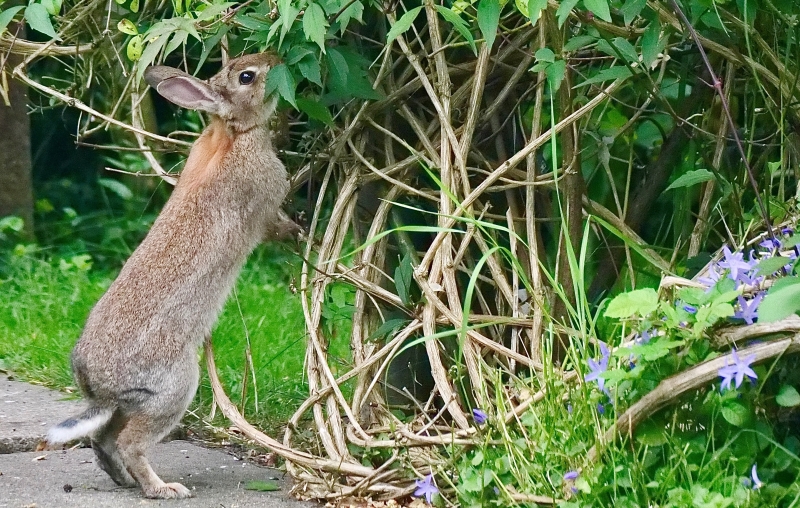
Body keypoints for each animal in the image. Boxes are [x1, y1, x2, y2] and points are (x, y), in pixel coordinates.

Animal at [44, 53, 300, 498]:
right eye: (246, 76)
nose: (277, 59)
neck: (232, 132)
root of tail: (101, 388)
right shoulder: (265, 205)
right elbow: (274, 225)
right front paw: (299, 231)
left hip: (133, 404)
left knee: (103, 439)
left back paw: (128, 481)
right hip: (173, 388)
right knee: (130, 442)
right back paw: (164, 489)